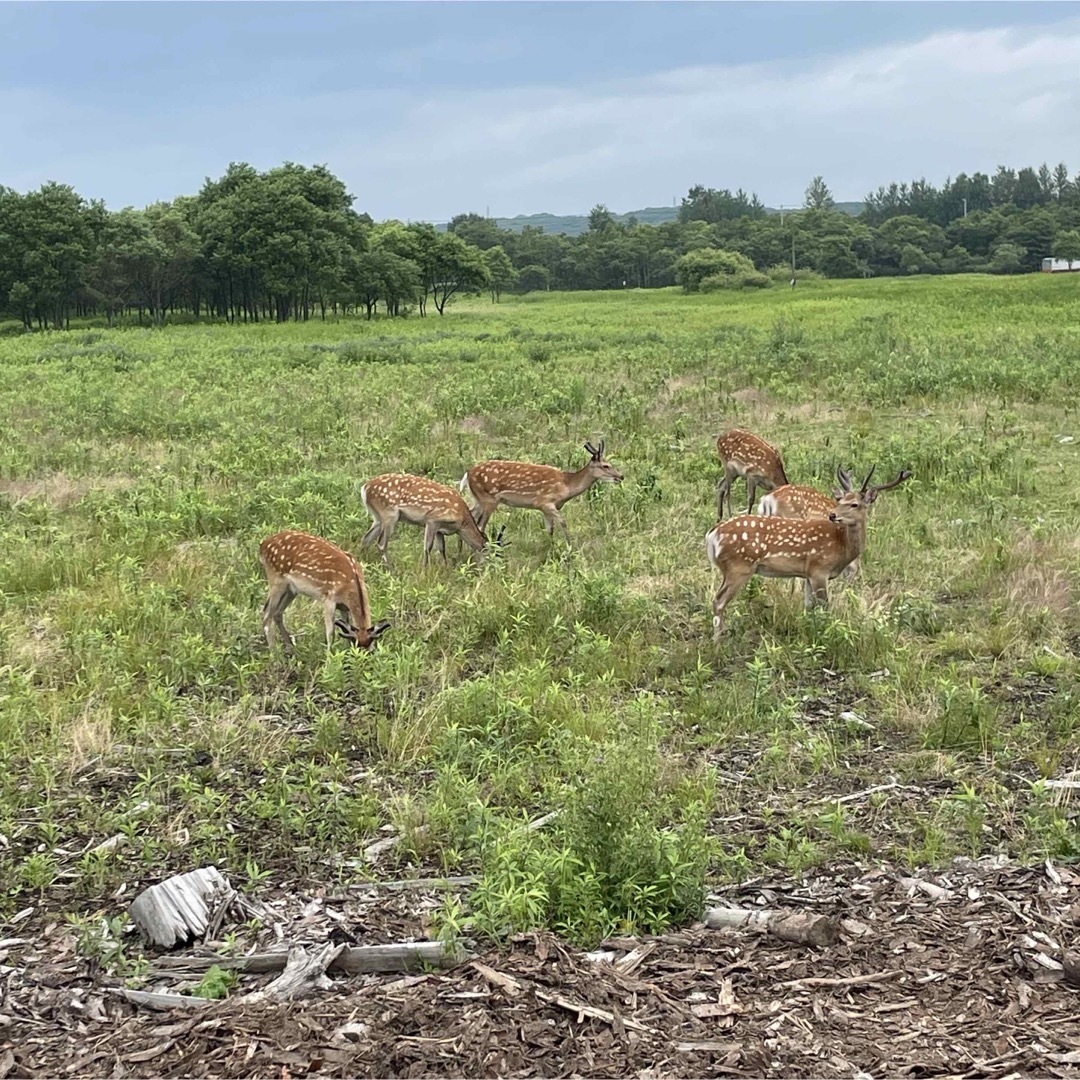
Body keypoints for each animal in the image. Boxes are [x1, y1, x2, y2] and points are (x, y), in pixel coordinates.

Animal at [258, 529, 390, 648]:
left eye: (371, 648)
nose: (362, 657)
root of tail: (263, 546)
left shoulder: (344, 607)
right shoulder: (329, 599)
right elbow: (330, 634)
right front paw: (329, 657)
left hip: (291, 589)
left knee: (277, 613)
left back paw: (291, 649)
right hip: (276, 580)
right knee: (266, 613)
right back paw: (274, 653)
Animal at [358, 475, 501, 570]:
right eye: (489, 553)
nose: (490, 569)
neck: (461, 522)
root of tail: (365, 488)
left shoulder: (440, 529)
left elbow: (442, 548)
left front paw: (445, 567)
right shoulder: (432, 519)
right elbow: (428, 547)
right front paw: (425, 569)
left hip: (378, 517)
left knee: (366, 538)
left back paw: (364, 564)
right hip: (389, 514)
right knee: (381, 543)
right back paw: (391, 569)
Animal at [462, 438, 626, 544]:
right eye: (605, 466)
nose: (621, 476)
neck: (566, 486)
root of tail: (468, 474)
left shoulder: (546, 508)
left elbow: (550, 529)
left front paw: (551, 547)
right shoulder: (544, 502)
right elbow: (563, 522)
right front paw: (569, 546)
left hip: (478, 499)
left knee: (470, 517)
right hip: (489, 499)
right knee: (480, 525)